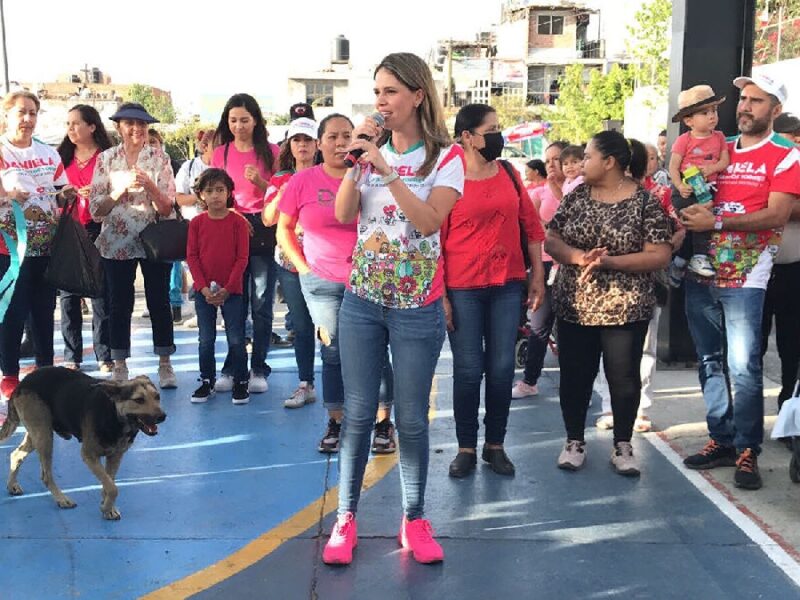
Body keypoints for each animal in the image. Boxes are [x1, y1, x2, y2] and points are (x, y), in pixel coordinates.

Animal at [0, 366, 166, 520]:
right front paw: (106, 507)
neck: (113, 414)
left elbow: (109, 483)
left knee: (16, 454)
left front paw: (107, 507)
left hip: (37, 434)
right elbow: (113, 488)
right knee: (46, 476)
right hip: (44, 437)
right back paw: (62, 499)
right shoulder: (89, 455)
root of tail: (21, 384)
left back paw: (12, 485)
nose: (163, 416)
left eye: (157, 397)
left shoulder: (116, 456)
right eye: (139, 400)